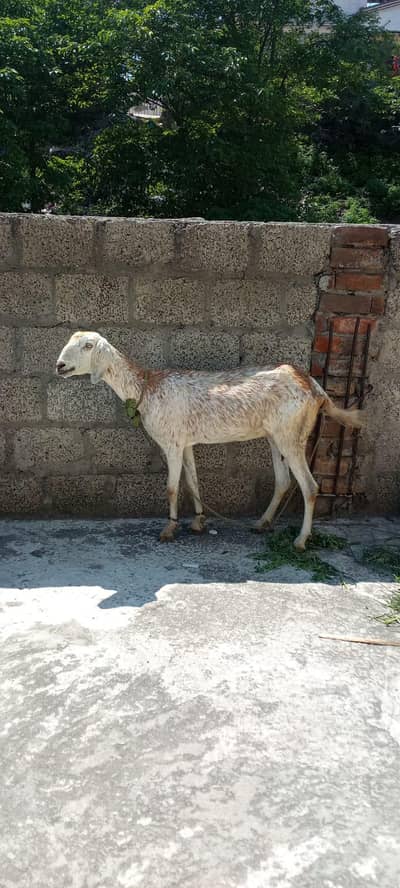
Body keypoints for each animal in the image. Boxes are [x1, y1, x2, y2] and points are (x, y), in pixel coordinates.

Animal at [56, 331, 364, 549]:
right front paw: (198, 523)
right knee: (283, 481)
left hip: (292, 436)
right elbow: (193, 483)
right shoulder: (186, 442)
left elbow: (171, 488)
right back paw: (262, 523)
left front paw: (169, 529)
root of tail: (315, 388)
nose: (59, 366)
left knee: (310, 486)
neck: (146, 387)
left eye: (88, 346)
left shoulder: (172, 443)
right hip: (276, 437)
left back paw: (300, 541)